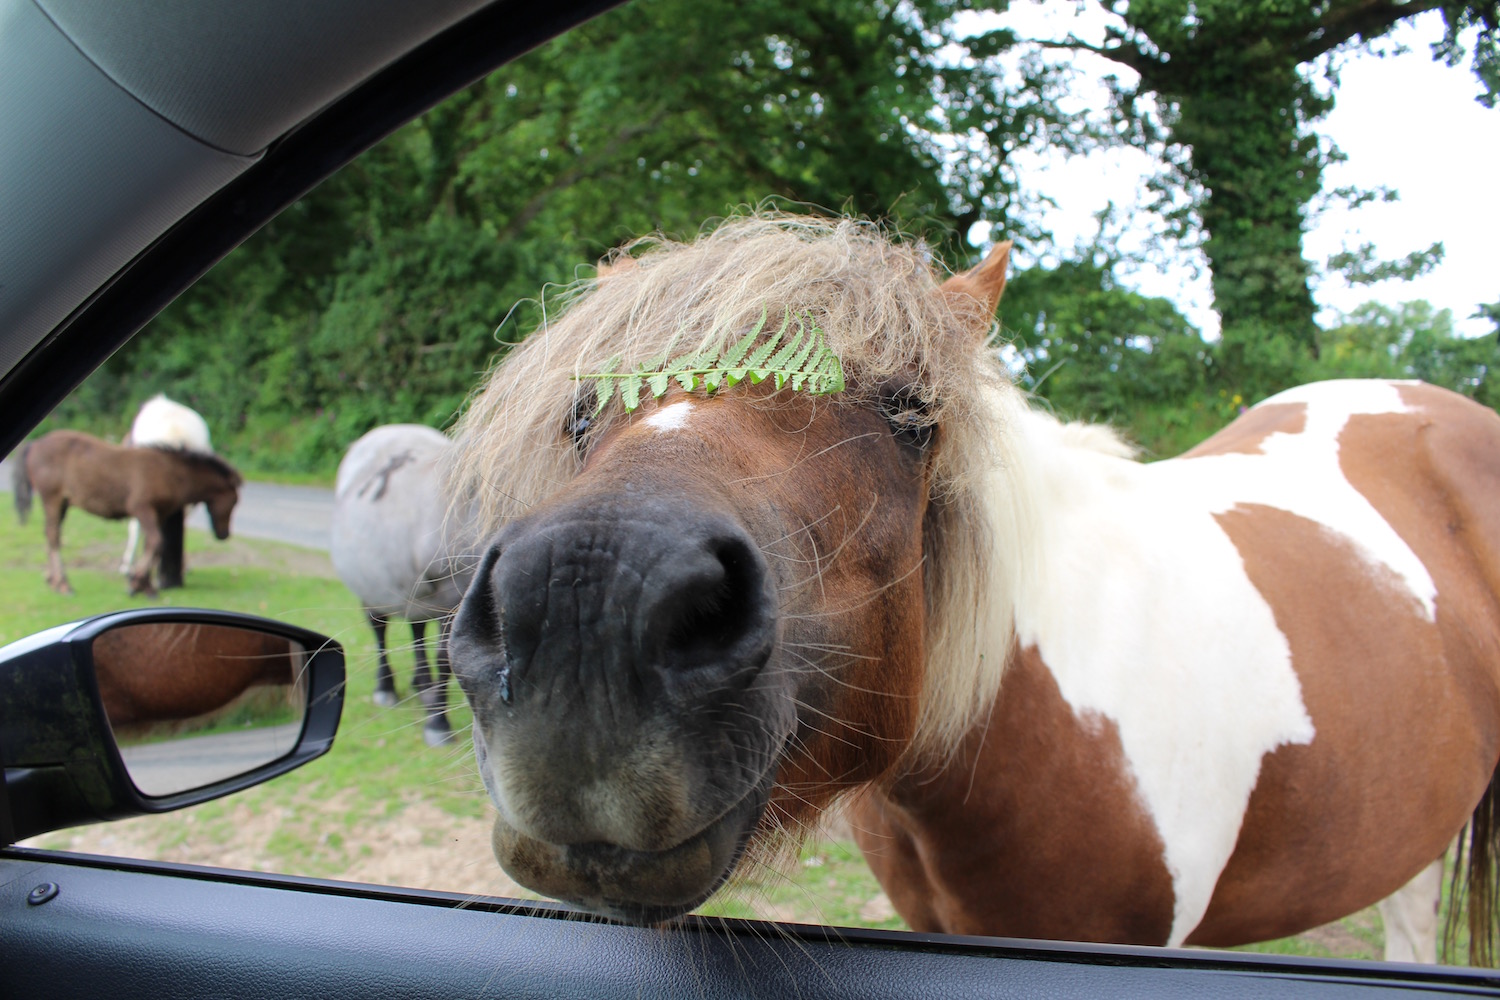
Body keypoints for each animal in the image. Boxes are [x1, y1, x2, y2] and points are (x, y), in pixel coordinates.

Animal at [12, 429, 242, 597]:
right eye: (234, 501)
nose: (224, 534)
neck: (171, 472)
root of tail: (35, 444)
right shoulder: (142, 508)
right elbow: (156, 541)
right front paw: (136, 582)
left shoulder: (158, 513)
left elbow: (155, 545)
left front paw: (146, 585)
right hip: (52, 498)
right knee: (53, 536)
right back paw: (63, 584)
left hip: (62, 504)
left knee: (50, 534)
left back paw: (51, 579)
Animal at [331, 424, 473, 747]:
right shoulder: (453, 600)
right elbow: (446, 659)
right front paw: (438, 725)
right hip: (373, 587)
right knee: (379, 628)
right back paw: (386, 688)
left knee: (416, 627)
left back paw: (422, 685)